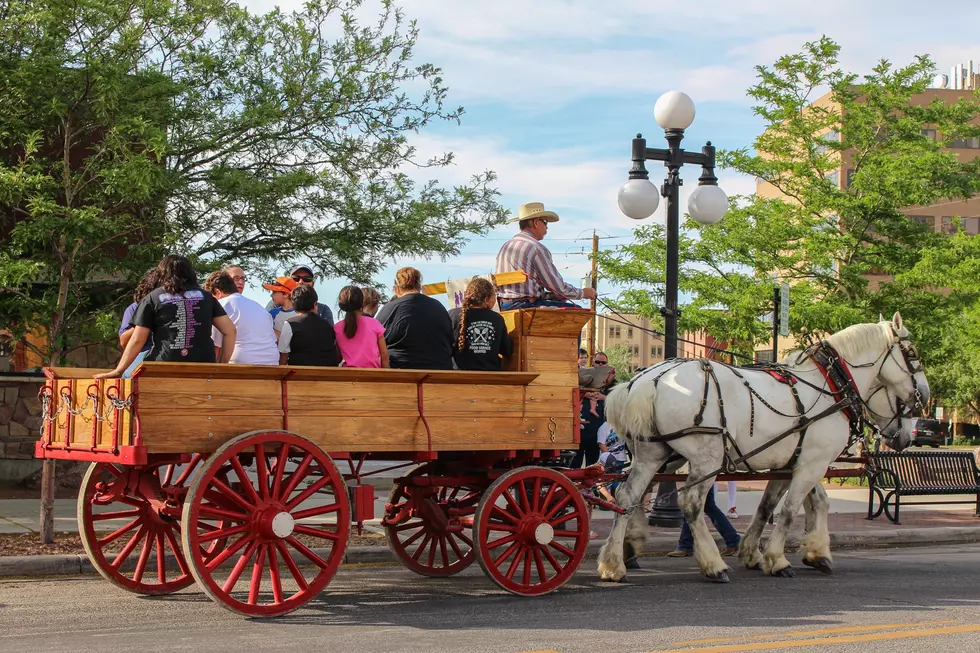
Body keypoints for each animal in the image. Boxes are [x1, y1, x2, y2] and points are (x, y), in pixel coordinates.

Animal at [596, 314, 928, 584]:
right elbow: (791, 510)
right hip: (707, 457)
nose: (924, 396)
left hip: (652, 454)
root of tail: (646, 381)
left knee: (627, 497)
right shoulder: (813, 463)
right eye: (912, 353)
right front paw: (778, 560)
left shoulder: (793, 462)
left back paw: (615, 561)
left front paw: (800, 553)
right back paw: (713, 564)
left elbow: (782, 506)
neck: (830, 384)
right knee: (690, 502)